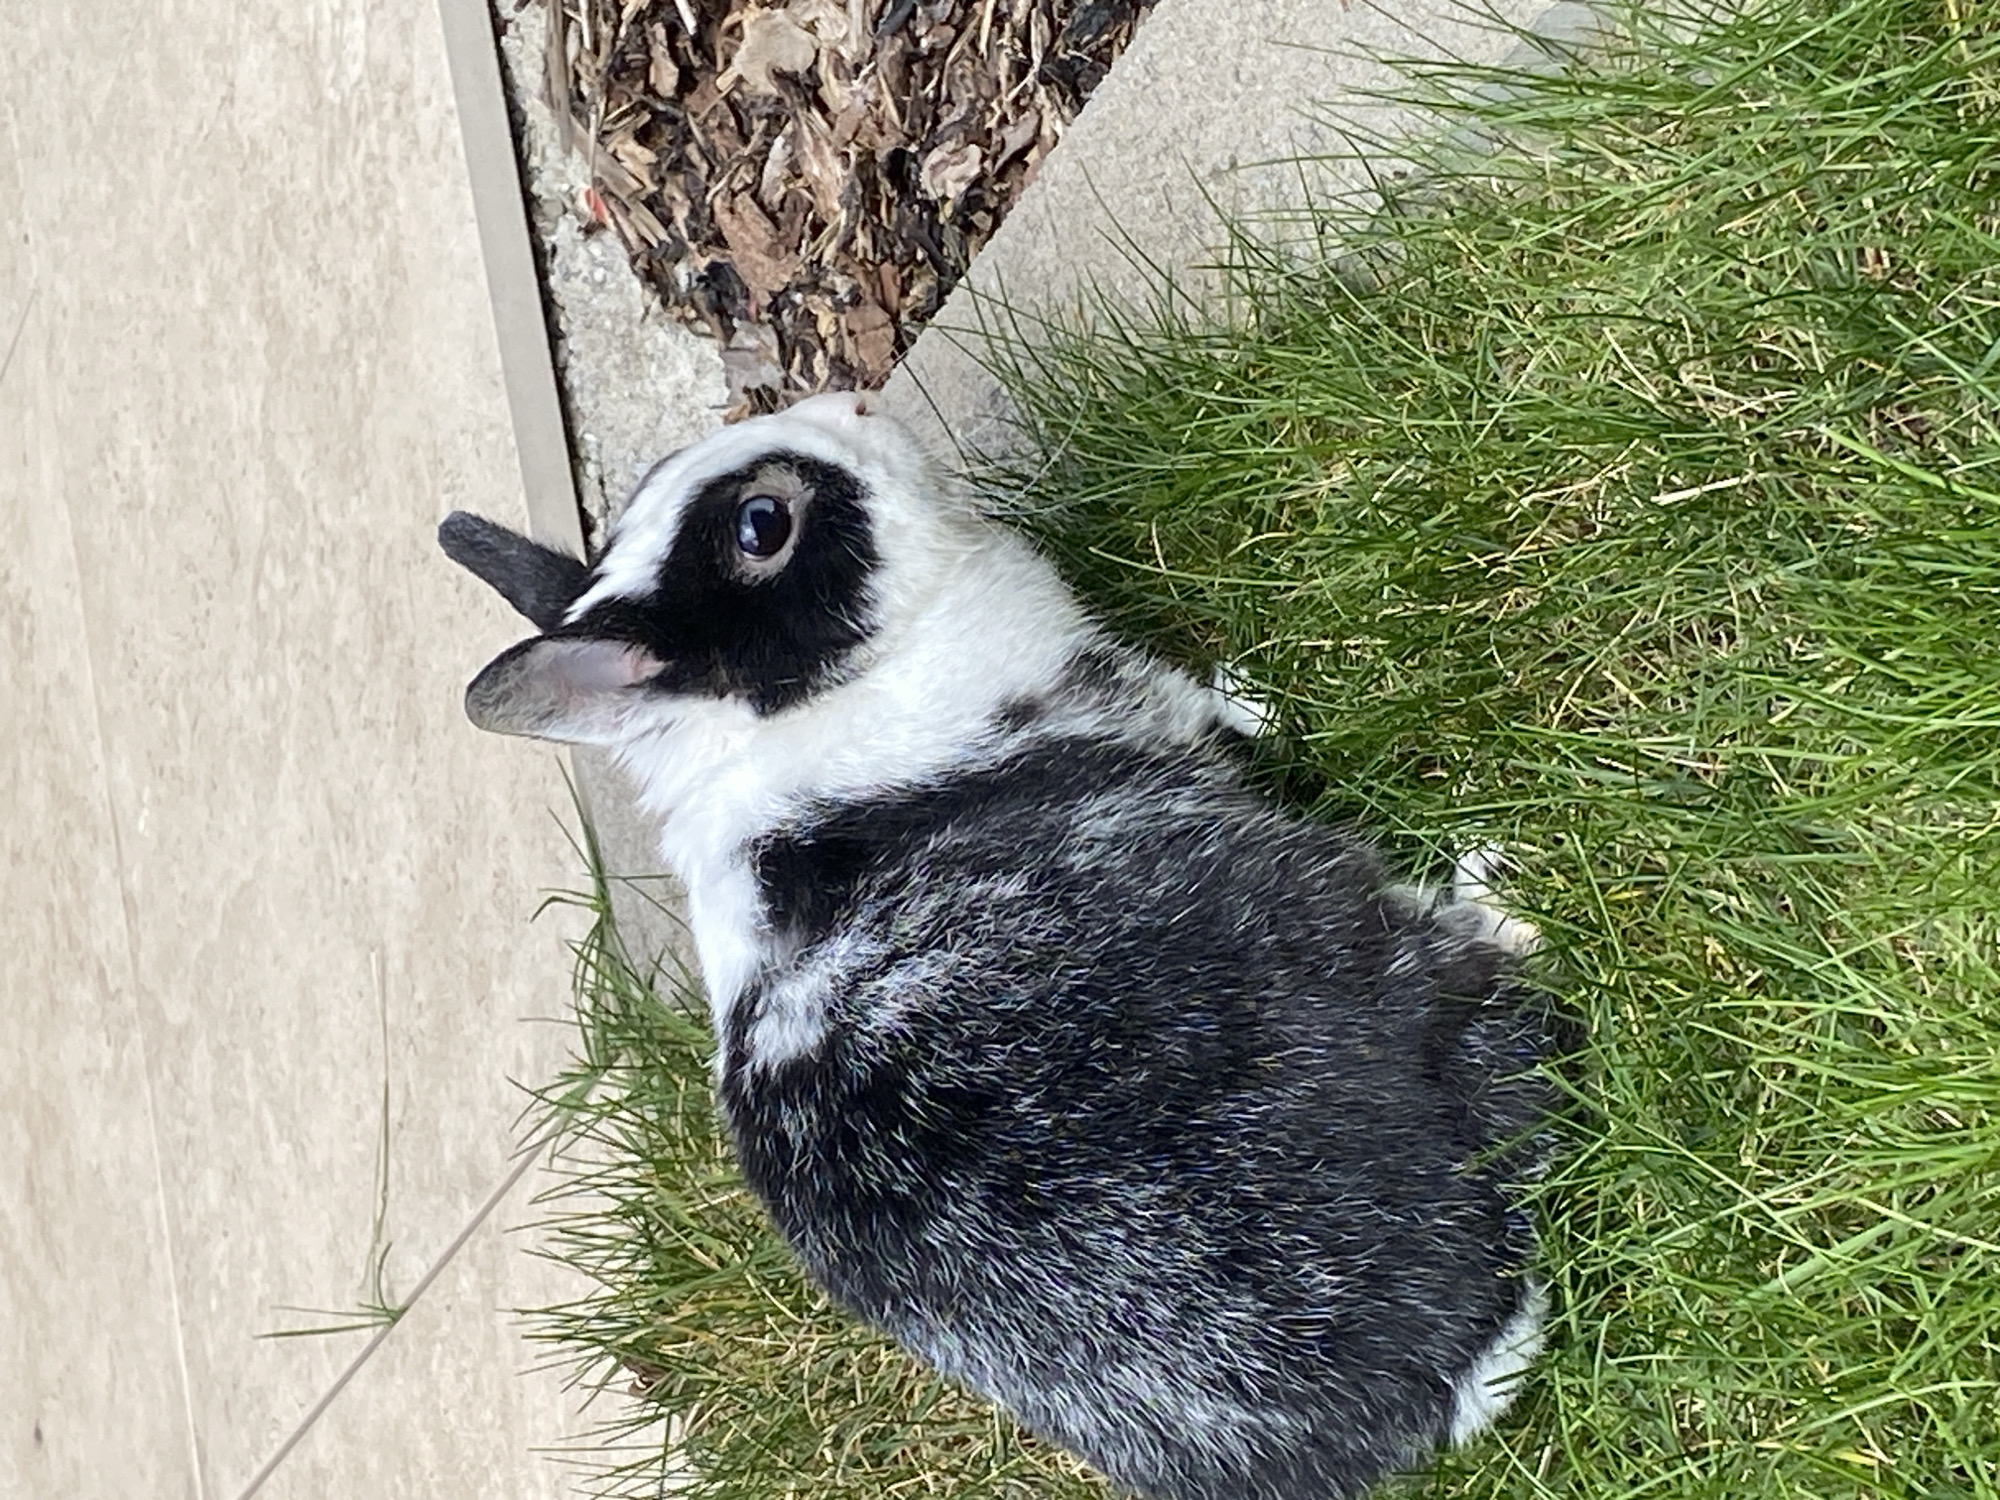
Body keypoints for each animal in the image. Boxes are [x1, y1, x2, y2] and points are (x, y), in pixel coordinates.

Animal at [441, 391, 1561, 1500]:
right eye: (763, 526)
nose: (854, 401)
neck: (811, 699)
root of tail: (1443, 1372)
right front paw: (1261, 698)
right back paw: (1504, 892)